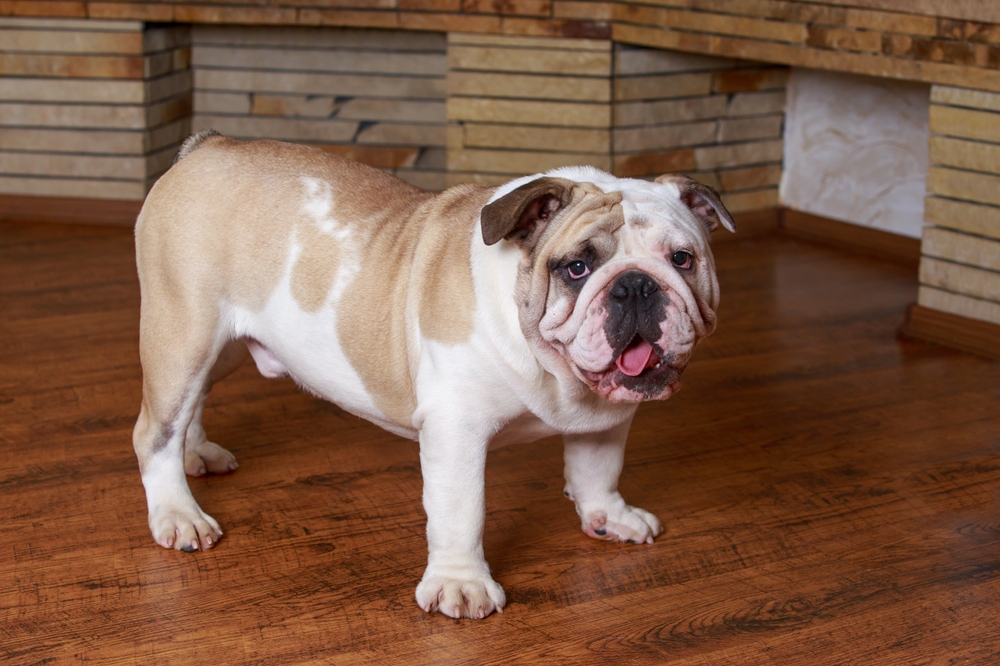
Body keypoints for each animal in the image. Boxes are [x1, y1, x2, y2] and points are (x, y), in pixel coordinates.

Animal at [131, 130, 736, 616]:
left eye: (682, 259)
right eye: (577, 267)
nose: (635, 285)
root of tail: (207, 146)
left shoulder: (605, 420)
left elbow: (597, 470)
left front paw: (608, 516)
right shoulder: (456, 429)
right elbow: (461, 509)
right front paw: (461, 586)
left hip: (221, 346)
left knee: (189, 404)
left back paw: (196, 453)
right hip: (183, 331)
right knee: (155, 429)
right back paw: (177, 514)